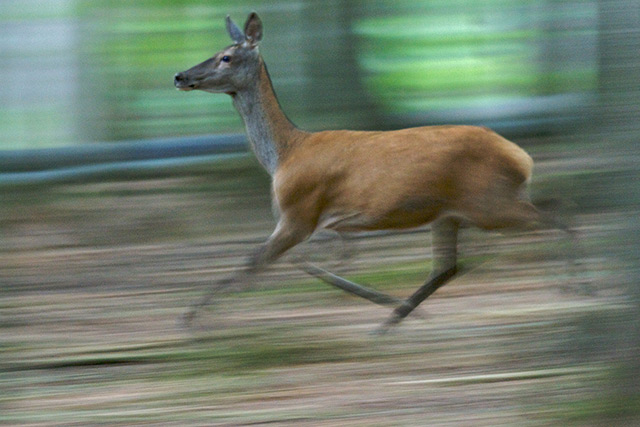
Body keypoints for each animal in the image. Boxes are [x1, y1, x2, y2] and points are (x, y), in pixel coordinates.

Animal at [174, 12, 576, 334]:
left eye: (226, 57)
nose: (180, 75)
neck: (284, 154)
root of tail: (521, 156)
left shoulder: (299, 212)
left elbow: (256, 262)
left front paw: (192, 319)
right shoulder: (320, 221)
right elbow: (305, 262)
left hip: (488, 203)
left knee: (557, 218)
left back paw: (575, 286)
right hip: (453, 211)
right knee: (448, 266)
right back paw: (393, 320)